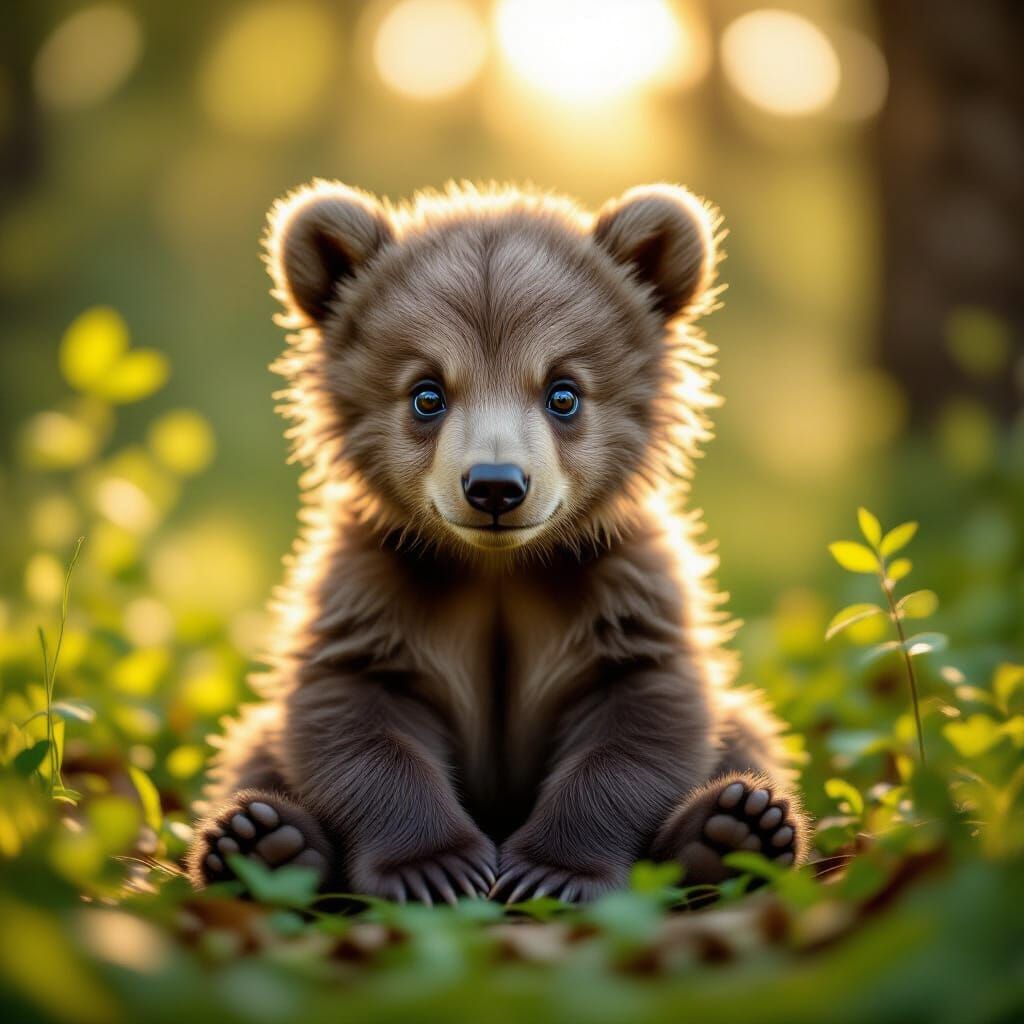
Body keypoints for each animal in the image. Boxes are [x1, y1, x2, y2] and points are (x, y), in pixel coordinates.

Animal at [186, 180, 809, 903]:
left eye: (563, 392)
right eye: (427, 393)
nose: (494, 485)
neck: (498, 569)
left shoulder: (619, 588)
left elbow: (641, 723)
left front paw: (550, 872)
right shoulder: (375, 589)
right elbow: (355, 721)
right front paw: (437, 867)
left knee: (748, 731)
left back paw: (733, 829)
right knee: (252, 749)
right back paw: (262, 841)